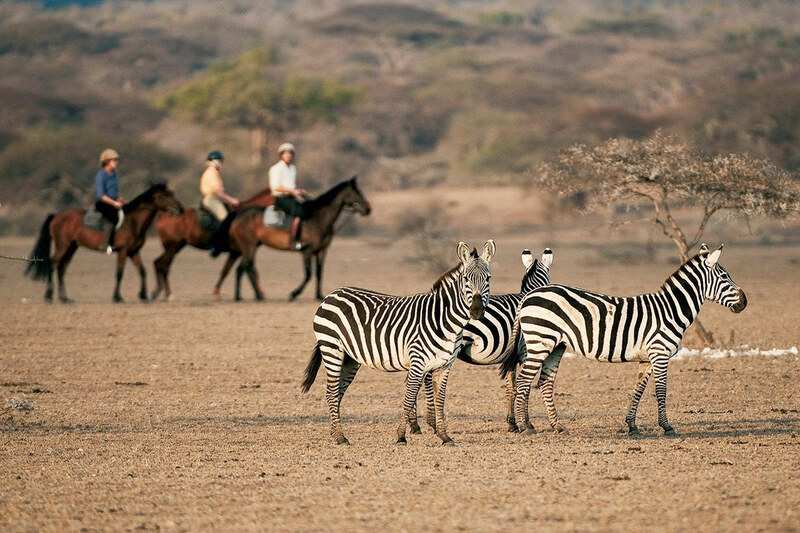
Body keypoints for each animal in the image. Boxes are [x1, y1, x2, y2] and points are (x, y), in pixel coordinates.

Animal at [301, 240, 496, 446]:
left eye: (488, 279)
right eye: (466, 279)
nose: (476, 311)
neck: (445, 321)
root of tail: (331, 294)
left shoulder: (444, 366)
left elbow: (440, 400)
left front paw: (444, 437)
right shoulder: (418, 362)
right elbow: (409, 398)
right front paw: (401, 436)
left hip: (350, 358)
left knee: (337, 392)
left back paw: (335, 433)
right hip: (332, 348)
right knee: (331, 392)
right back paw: (340, 437)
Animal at [418, 248, 554, 433]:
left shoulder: (510, 357)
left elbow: (511, 388)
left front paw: (512, 423)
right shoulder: (526, 352)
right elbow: (523, 388)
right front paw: (526, 423)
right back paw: (428, 422)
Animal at [500, 244, 747, 436]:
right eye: (724, 277)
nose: (744, 302)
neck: (670, 310)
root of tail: (527, 297)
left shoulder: (647, 358)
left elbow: (638, 389)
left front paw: (632, 425)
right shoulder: (660, 354)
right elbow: (661, 390)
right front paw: (666, 426)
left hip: (555, 345)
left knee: (545, 381)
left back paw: (556, 426)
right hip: (540, 341)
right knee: (523, 381)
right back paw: (525, 426)